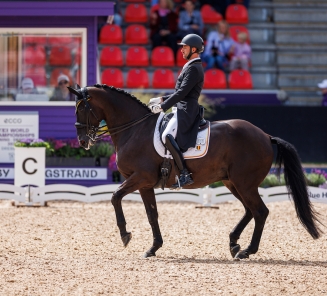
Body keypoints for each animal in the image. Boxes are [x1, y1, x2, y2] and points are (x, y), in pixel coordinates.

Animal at [68, 84, 322, 260]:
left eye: (81, 108)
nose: (82, 141)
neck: (135, 129)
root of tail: (266, 136)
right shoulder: (146, 184)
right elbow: (152, 215)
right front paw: (153, 248)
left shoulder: (140, 177)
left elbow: (114, 197)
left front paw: (125, 235)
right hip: (233, 183)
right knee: (250, 210)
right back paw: (234, 244)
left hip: (245, 183)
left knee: (260, 211)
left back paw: (246, 251)